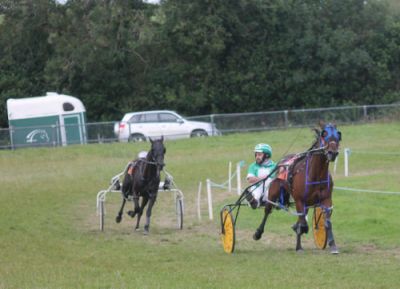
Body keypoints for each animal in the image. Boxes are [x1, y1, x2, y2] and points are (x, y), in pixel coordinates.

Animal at [253, 121, 340, 252]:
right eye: (324, 134)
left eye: (338, 135)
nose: (332, 152)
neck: (316, 175)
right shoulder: (300, 200)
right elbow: (303, 223)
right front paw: (298, 230)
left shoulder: (326, 199)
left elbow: (327, 222)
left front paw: (333, 245)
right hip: (273, 191)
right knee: (267, 210)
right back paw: (258, 233)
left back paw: (299, 245)